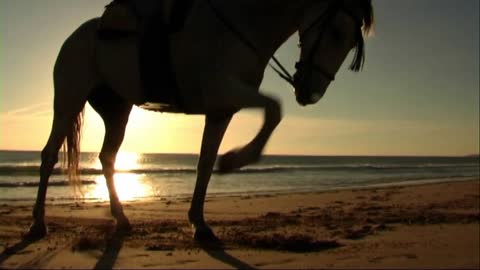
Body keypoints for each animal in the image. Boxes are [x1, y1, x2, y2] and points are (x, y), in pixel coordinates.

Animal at [27, 0, 376, 240]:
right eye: (336, 32)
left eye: (350, 42)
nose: (310, 93)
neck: (244, 23)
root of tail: (75, 37)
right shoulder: (226, 89)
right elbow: (275, 108)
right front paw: (235, 160)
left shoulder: (221, 110)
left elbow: (206, 162)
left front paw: (199, 222)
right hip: (69, 100)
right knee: (49, 155)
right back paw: (38, 223)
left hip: (118, 111)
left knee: (107, 157)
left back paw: (121, 218)